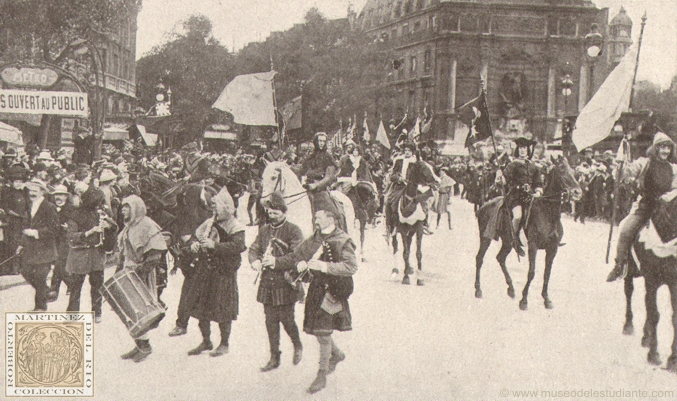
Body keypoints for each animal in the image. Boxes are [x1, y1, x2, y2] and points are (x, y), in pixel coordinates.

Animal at [472, 156, 580, 310]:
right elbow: (532, 272)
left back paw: (511, 289)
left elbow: (547, 274)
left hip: (508, 242)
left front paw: (546, 299)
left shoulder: (552, 249)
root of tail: (483, 206)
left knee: (500, 258)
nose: (577, 192)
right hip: (485, 238)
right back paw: (478, 290)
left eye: (574, 171)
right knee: (479, 259)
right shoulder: (533, 246)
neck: (548, 213)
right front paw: (524, 301)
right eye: (561, 170)